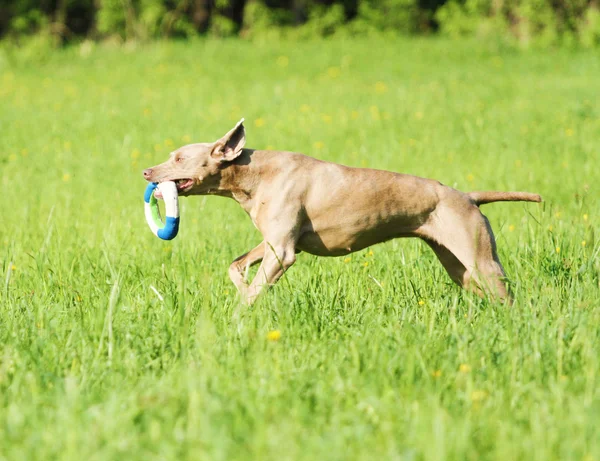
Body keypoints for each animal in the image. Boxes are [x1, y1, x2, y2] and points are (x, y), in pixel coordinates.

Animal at [143, 120, 540, 304]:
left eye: (178, 158)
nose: (146, 172)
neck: (251, 175)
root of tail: (468, 196)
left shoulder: (283, 252)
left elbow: (255, 289)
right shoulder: (272, 242)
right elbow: (235, 267)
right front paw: (240, 291)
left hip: (481, 261)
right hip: (459, 266)